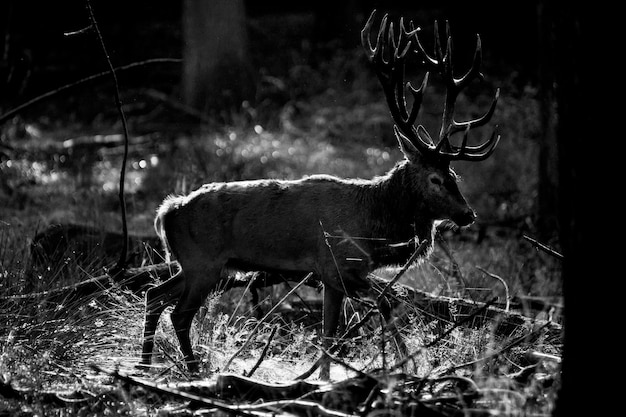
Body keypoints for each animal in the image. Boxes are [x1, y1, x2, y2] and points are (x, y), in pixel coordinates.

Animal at [136, 9, 498, 378]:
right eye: (436, 179)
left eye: (455, 175)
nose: (468, 214)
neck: (374, 227)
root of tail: (167, 211)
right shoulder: (336, 265)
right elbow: (376, 306)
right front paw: (403, 364)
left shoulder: (333, 277)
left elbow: (336, 328)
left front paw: (328, 377)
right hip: (203, 262)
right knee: (179, 313)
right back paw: (193, 369)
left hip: (199, 265)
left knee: (154, 294)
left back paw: (145, 364)